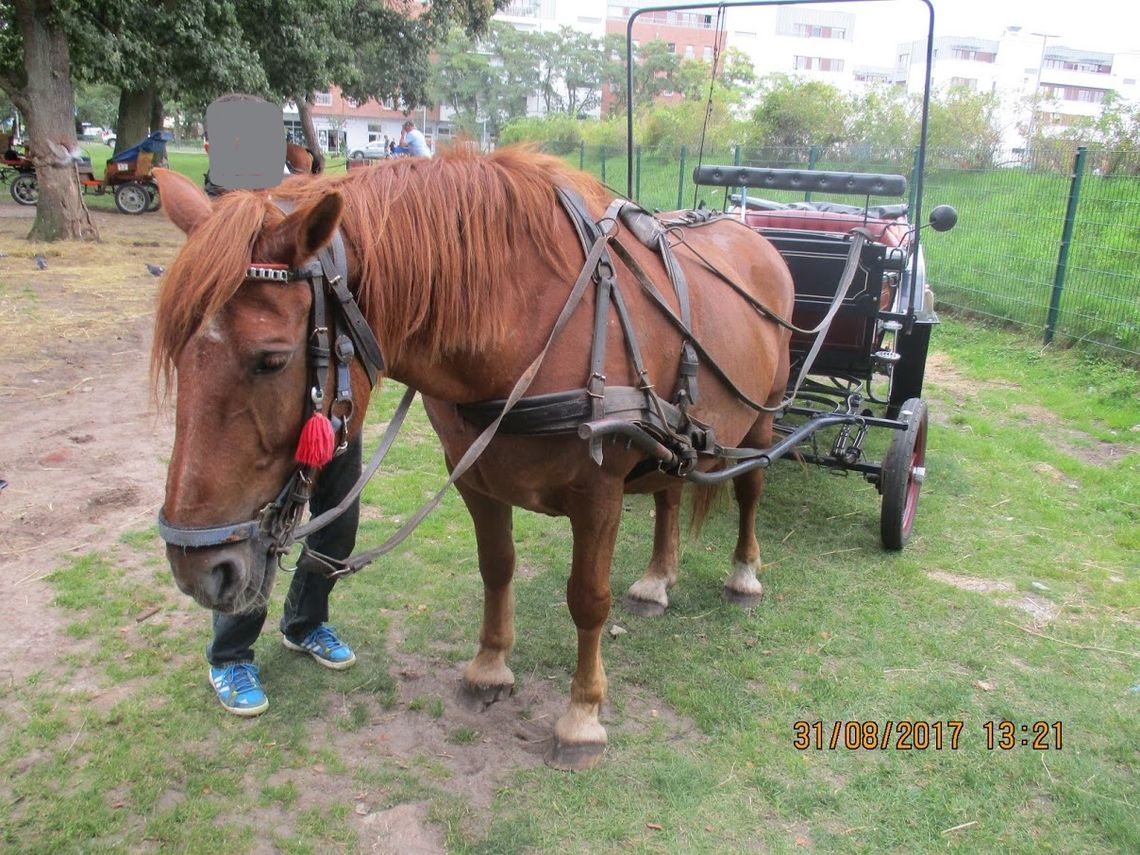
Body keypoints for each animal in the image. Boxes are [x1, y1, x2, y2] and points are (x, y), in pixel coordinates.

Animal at [151, 147, 793, 770]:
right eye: (176, 352)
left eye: (272, 359)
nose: (194, 568)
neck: (530, 319)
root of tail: (752, 234)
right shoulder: (476, 481)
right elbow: (496, 568)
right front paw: (489, 670)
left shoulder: (599, 492)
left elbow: (587, 599)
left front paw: (582, 717)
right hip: (673, 437)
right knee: (669, 492)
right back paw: (658, 580)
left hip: (763, 419)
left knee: (751, 490)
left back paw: (743, 573)